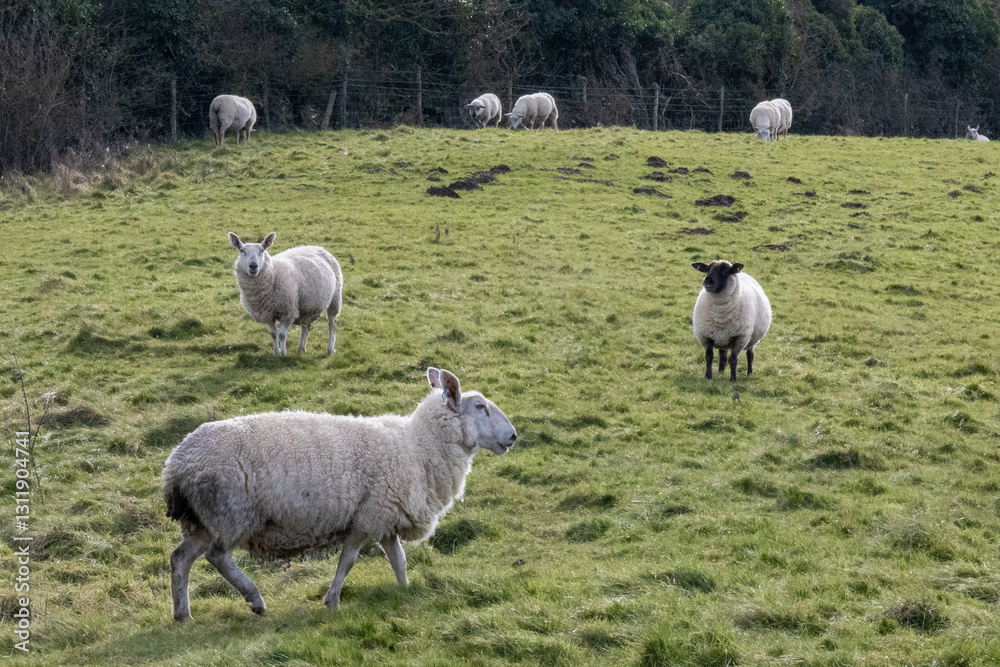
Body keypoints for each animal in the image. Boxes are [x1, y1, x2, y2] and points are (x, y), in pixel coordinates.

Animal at [162, 367, 518, 621]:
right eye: (480, 407)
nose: (513, 436)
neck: (417, 448)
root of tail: (176, 464)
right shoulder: (366, 517)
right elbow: (347, 562)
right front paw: (332, 600)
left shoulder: (386, 516)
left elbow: (399, 560)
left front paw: (405, 590)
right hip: (231, 514)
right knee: (218, 557)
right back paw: (255, 600)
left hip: (203, 521)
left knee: (181, 559)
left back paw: (183, 614)